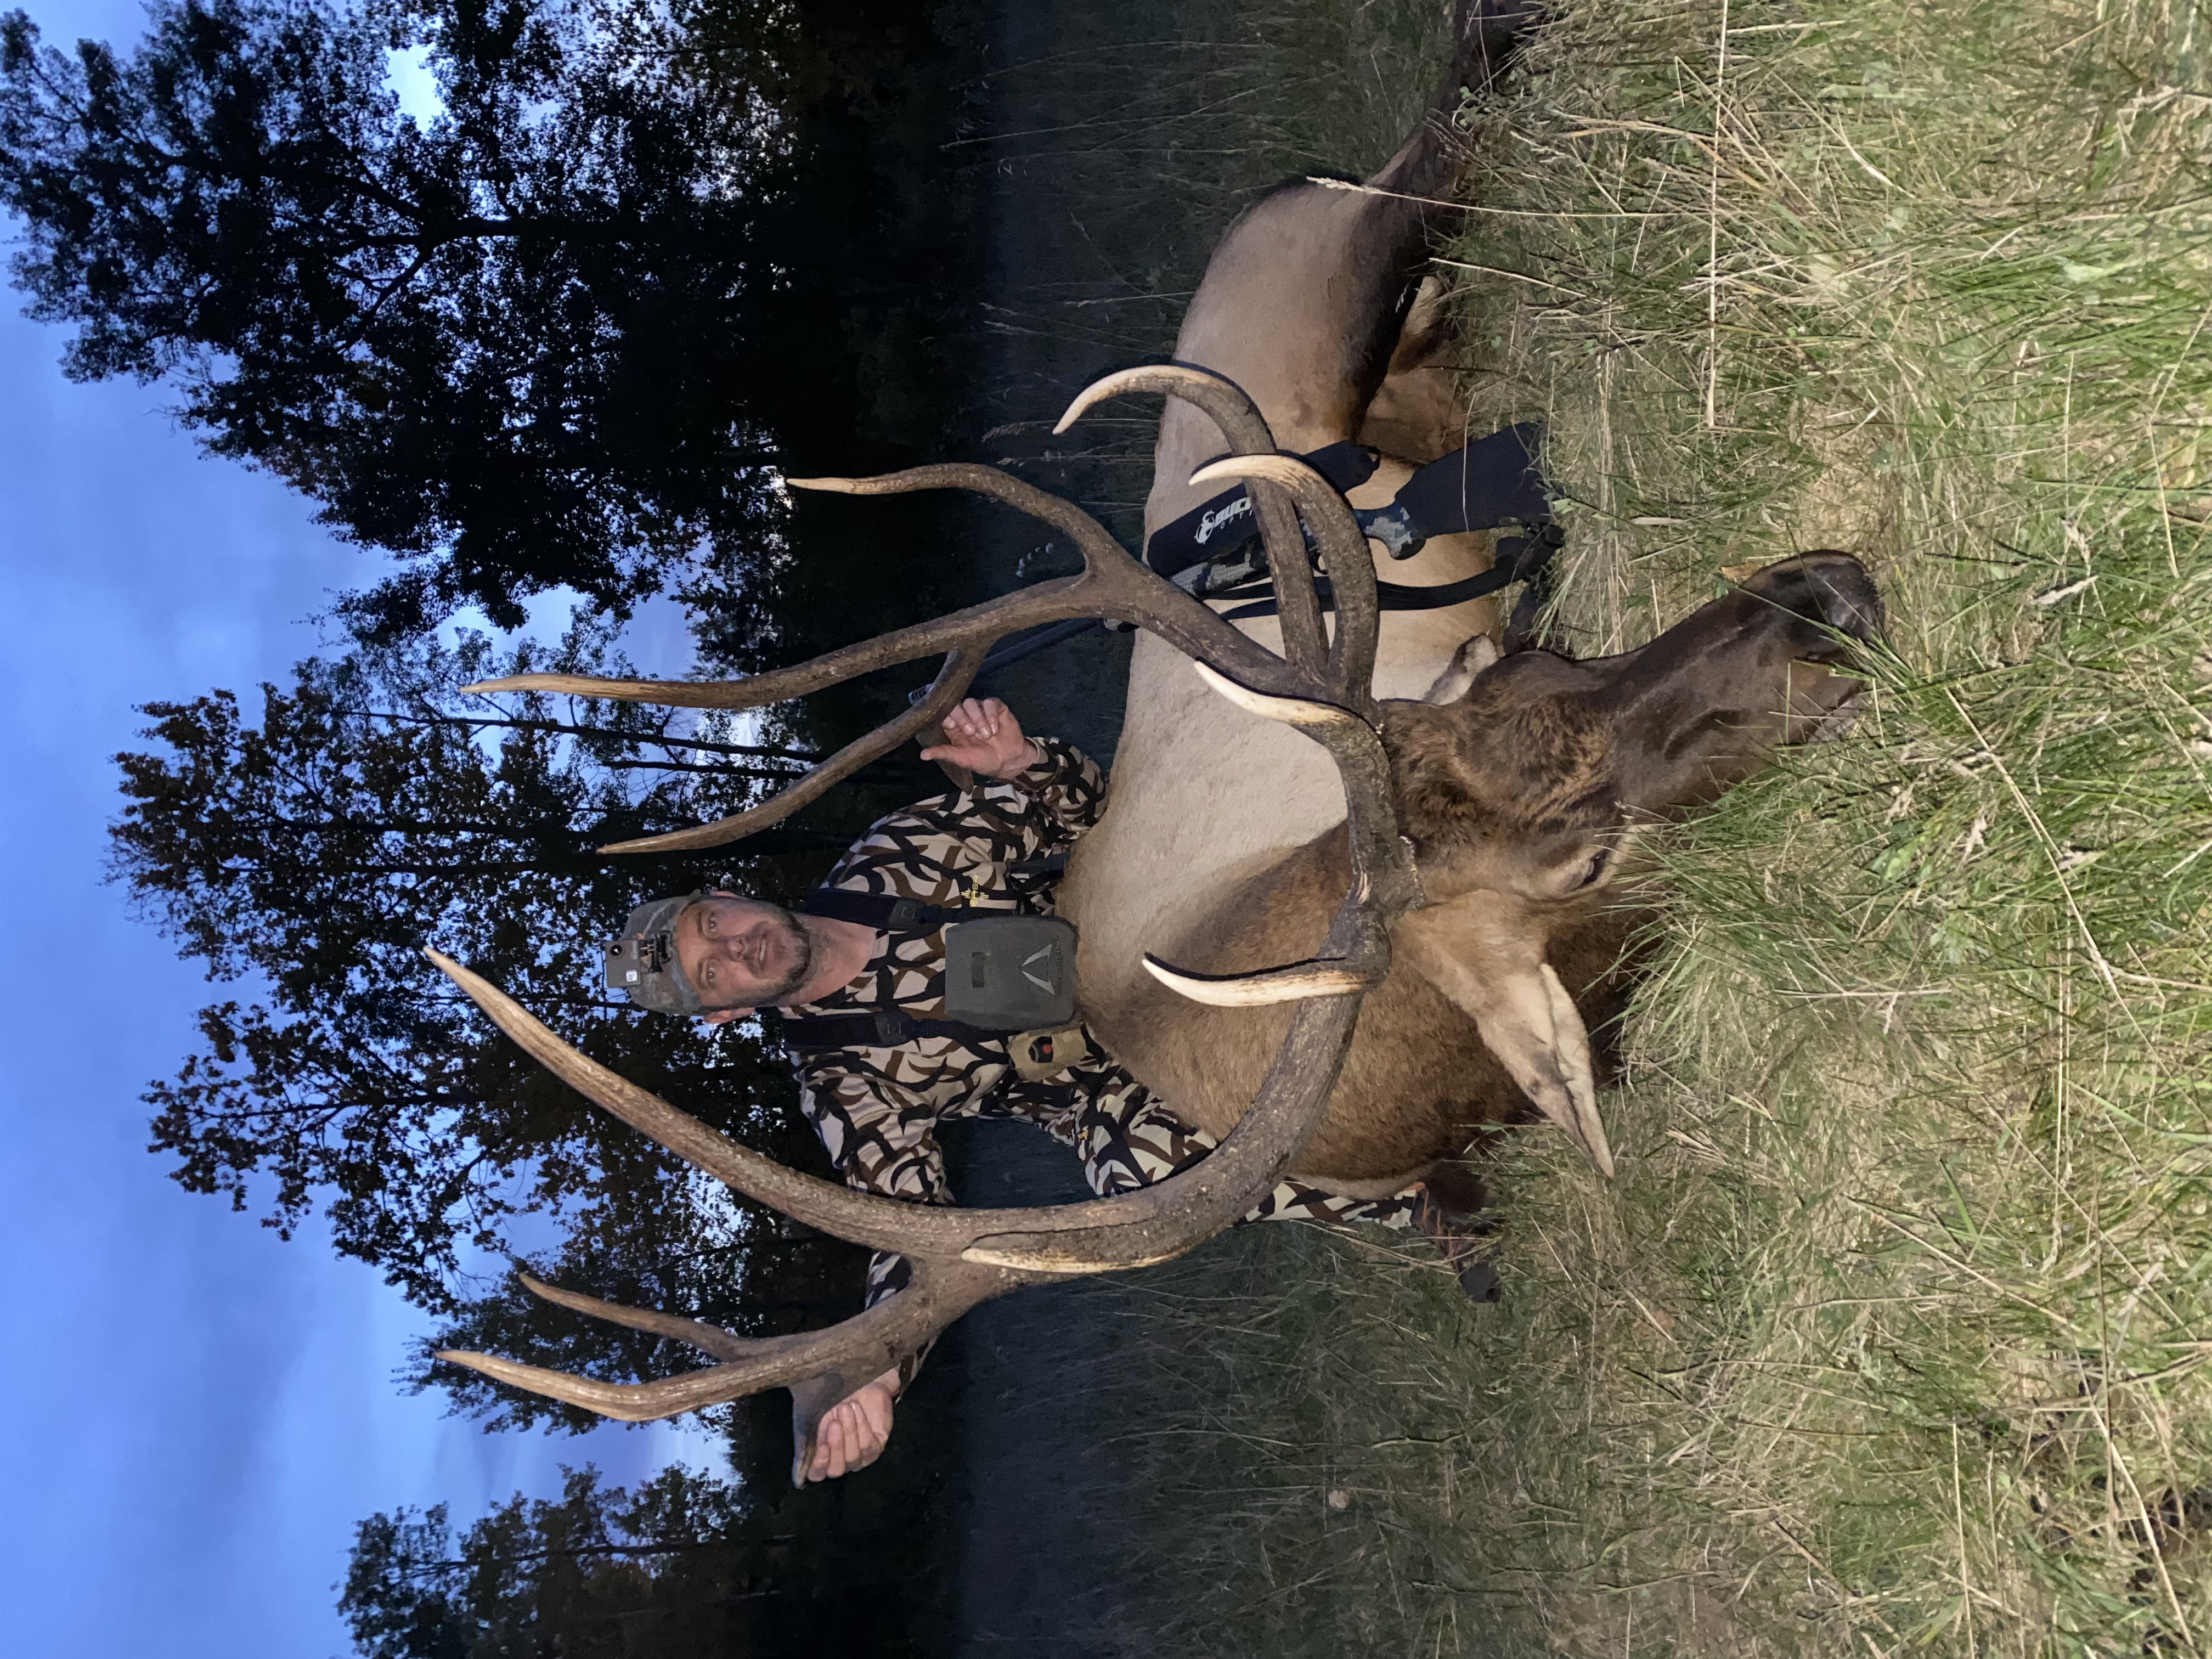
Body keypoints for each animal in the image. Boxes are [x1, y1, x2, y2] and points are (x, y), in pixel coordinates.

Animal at [428, 0, 1883, 1480]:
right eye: (1581, 860)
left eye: (1526, 662)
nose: (1828, 598)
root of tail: (1276, 206)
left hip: (1342, 279)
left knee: (1446, 129)